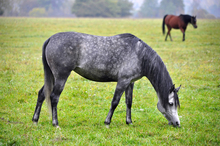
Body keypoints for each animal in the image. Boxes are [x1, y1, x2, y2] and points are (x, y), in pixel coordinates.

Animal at [31, 31, 181, 126]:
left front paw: (129, 122)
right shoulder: (123, 81)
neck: (140, 54)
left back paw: (35, 120)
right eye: (171, 103)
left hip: (53, 77)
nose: (177, 123)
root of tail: (51, 39)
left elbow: (129, 102)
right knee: (54, 97)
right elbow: (115, 102)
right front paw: (107, 122)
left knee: (42, 94)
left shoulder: (130, 83)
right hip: (61, 76)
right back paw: (55, 123)